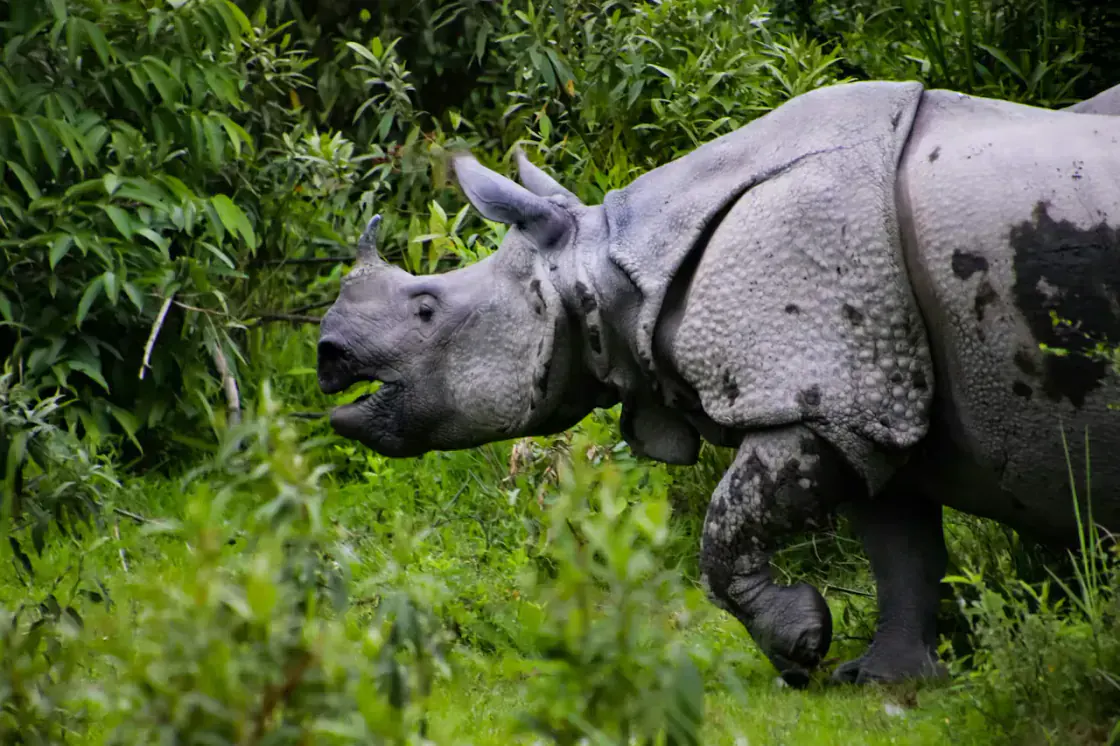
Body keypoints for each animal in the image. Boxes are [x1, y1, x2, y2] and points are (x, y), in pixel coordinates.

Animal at [317, 80, 1120, 686]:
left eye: (426, 307)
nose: (327, 355)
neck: (608, 274)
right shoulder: (863, 397)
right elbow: (902, 547)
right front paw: (883, 681)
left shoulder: (810, 392)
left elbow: (724, 531)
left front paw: (799, 648)